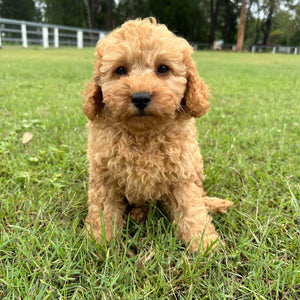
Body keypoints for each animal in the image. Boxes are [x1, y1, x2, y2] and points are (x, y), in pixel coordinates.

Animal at [82, 17, 232, 252]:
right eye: (120, 70)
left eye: (163, 68)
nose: (140, 97)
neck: (144, 134)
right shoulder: (104, 176)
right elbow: (103, 211)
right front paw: (99, 243)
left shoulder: (183, 175)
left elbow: (192, 210)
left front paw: (205, 244)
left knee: (200, 196)